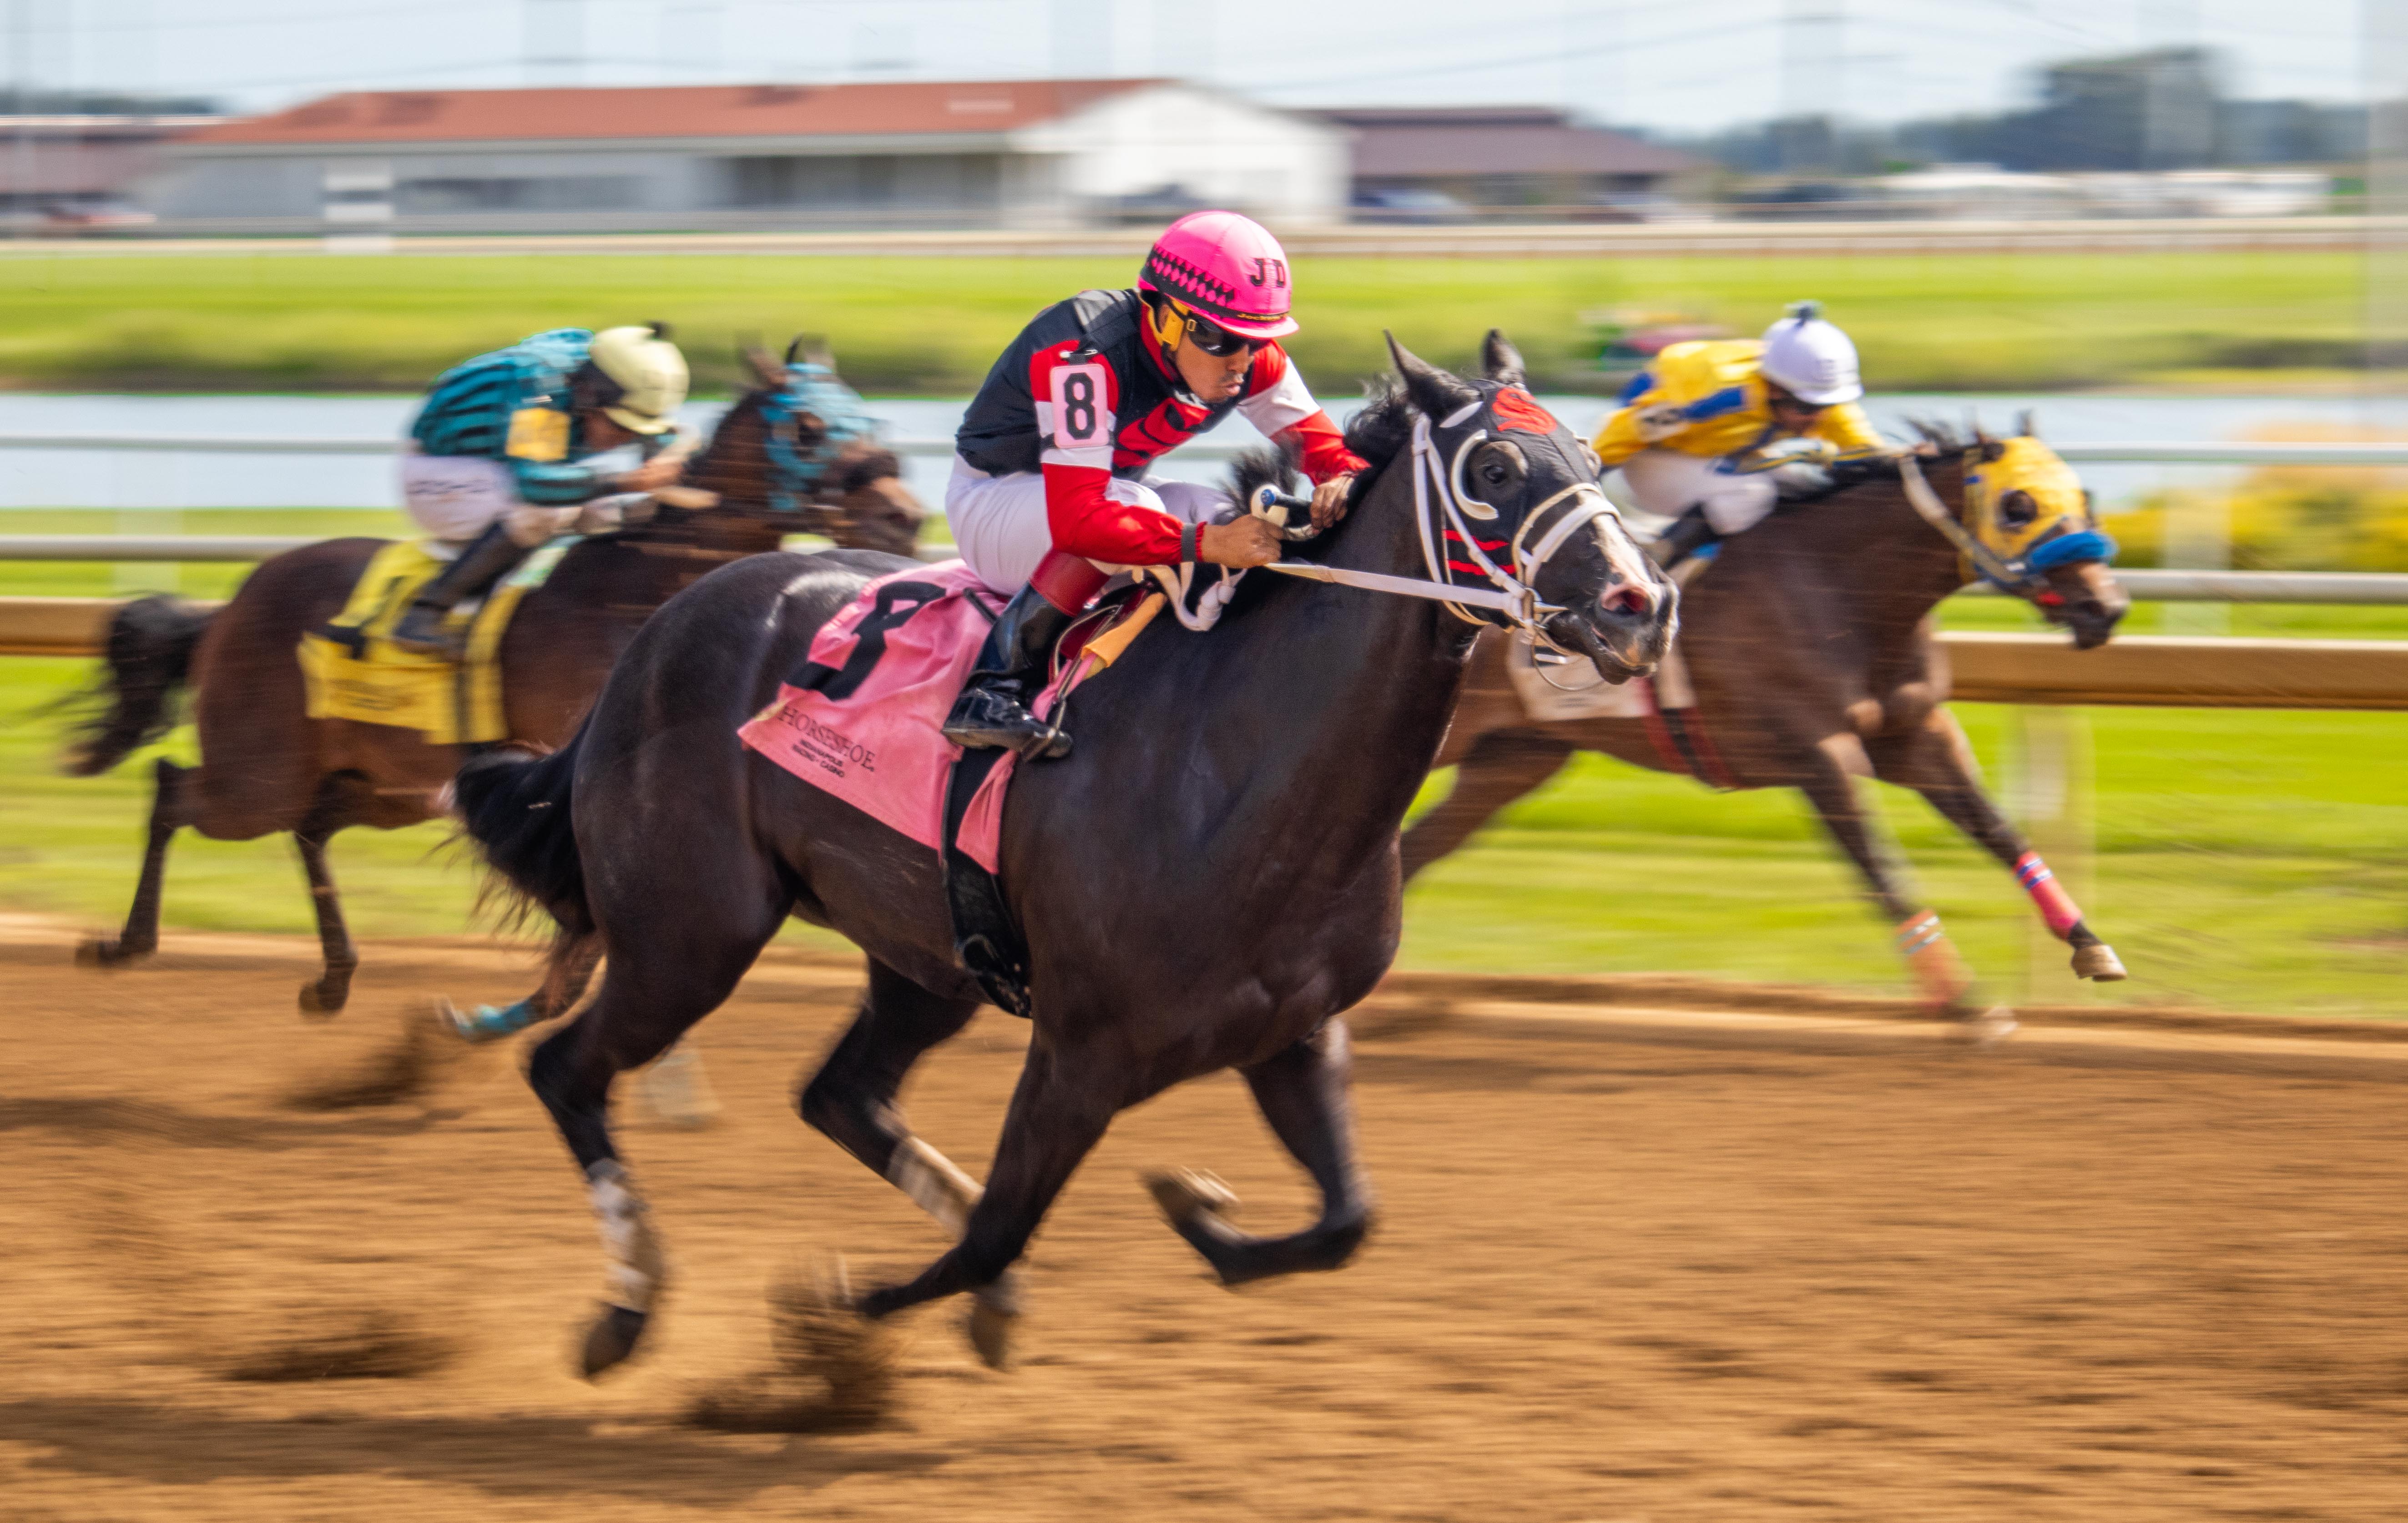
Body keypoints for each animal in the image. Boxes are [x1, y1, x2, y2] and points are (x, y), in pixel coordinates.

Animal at [70, 342, 919, 1010]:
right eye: (808, 428)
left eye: (867, 420)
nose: (903, 516)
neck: (632, 595)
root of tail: (228, 607)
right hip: (259, 775)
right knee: (176, 789)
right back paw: (124, 944)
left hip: (384, 786)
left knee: (309, 829)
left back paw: (333, 978)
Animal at [1406, 428, 2138, 1015]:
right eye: (2018, 506)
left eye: (2082, 495)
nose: (2105, 608)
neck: (1843, 589)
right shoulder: (1820, 755)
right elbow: (1884, 870)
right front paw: (1964, 1006)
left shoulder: (1915, 735)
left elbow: (2000, 830)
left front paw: (2091, 946)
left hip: (1515, 758)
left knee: (1414, 849)